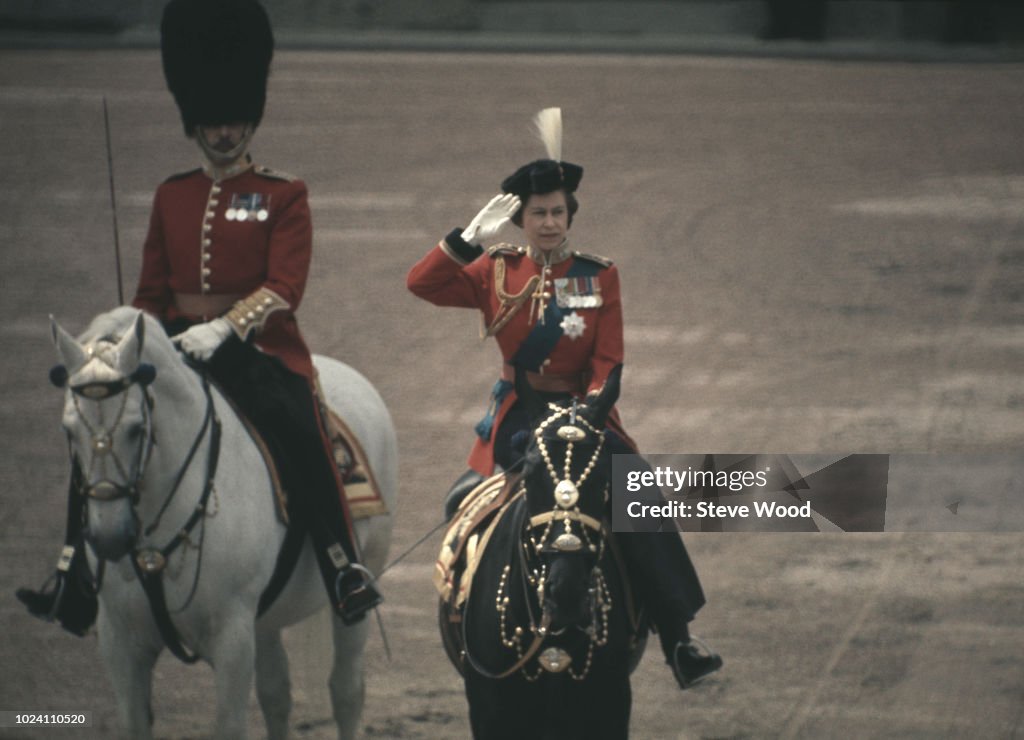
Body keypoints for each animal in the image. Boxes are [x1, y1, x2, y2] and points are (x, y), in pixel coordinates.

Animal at [50, 302, 395, 736]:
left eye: (135, 428)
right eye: (68, 429)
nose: (109, 537)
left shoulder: (231, 638)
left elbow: (230, 725)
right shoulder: (120, 640)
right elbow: (134, 722)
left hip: (362, 580)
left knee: (346, 690)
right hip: (264, 617)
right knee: (276, 695)